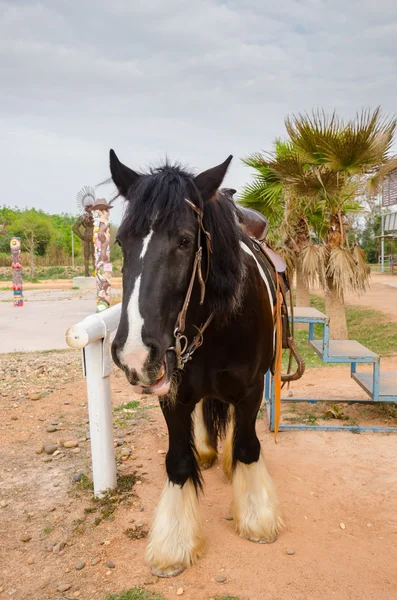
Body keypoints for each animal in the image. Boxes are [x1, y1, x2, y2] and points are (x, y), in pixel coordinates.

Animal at [108, 150, 282, 576]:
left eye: (185, 241)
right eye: (120, 241)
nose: (134, 354)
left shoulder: (251, 390)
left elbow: (248, 446)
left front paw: (257, 517)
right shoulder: (172, 394)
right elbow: (179, 462)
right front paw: (173, 543)